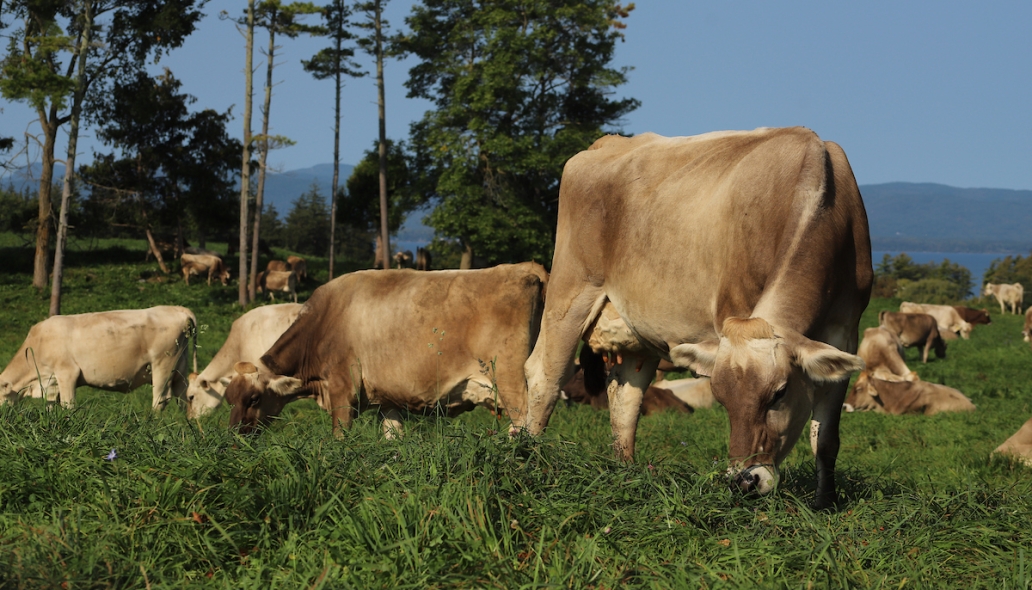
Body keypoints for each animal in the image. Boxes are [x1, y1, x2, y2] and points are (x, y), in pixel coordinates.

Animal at [0, 306, 196, 410]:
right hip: (179, 369)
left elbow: (68, 404)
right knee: (184, 397)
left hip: (163, 366)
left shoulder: (67, 373)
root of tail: (178, 310)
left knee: (160, 400)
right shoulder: (50, 383)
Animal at [223, 263, 548, 438]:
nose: (235, 434)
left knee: (525, 422)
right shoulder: (388, 398)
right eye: (229, 399)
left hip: (510, 378)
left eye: (254, 398)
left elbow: (339, 436)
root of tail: (523, 268)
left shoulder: (342, 389)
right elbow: (393, 436)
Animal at [523, 127, 872, 508]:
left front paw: (826, 503)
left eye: (779, 393)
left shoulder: (845, 331)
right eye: (720, 396)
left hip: (637, 334)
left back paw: (625, 473)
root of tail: (606, 142)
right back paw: (524, 458)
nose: (745, 481)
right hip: (569, 291)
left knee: (625, 396)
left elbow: (825, 439)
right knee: (543, 376)